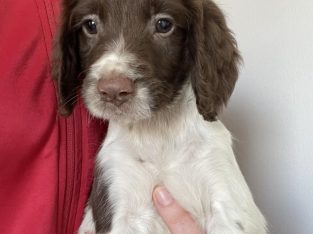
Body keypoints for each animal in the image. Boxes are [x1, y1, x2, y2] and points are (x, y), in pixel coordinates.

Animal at [52, 0, 266, 232]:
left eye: (164, 24)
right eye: (90, 25)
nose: (113, 90)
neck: (158, 131)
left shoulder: (224, 195)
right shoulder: (118, 195)